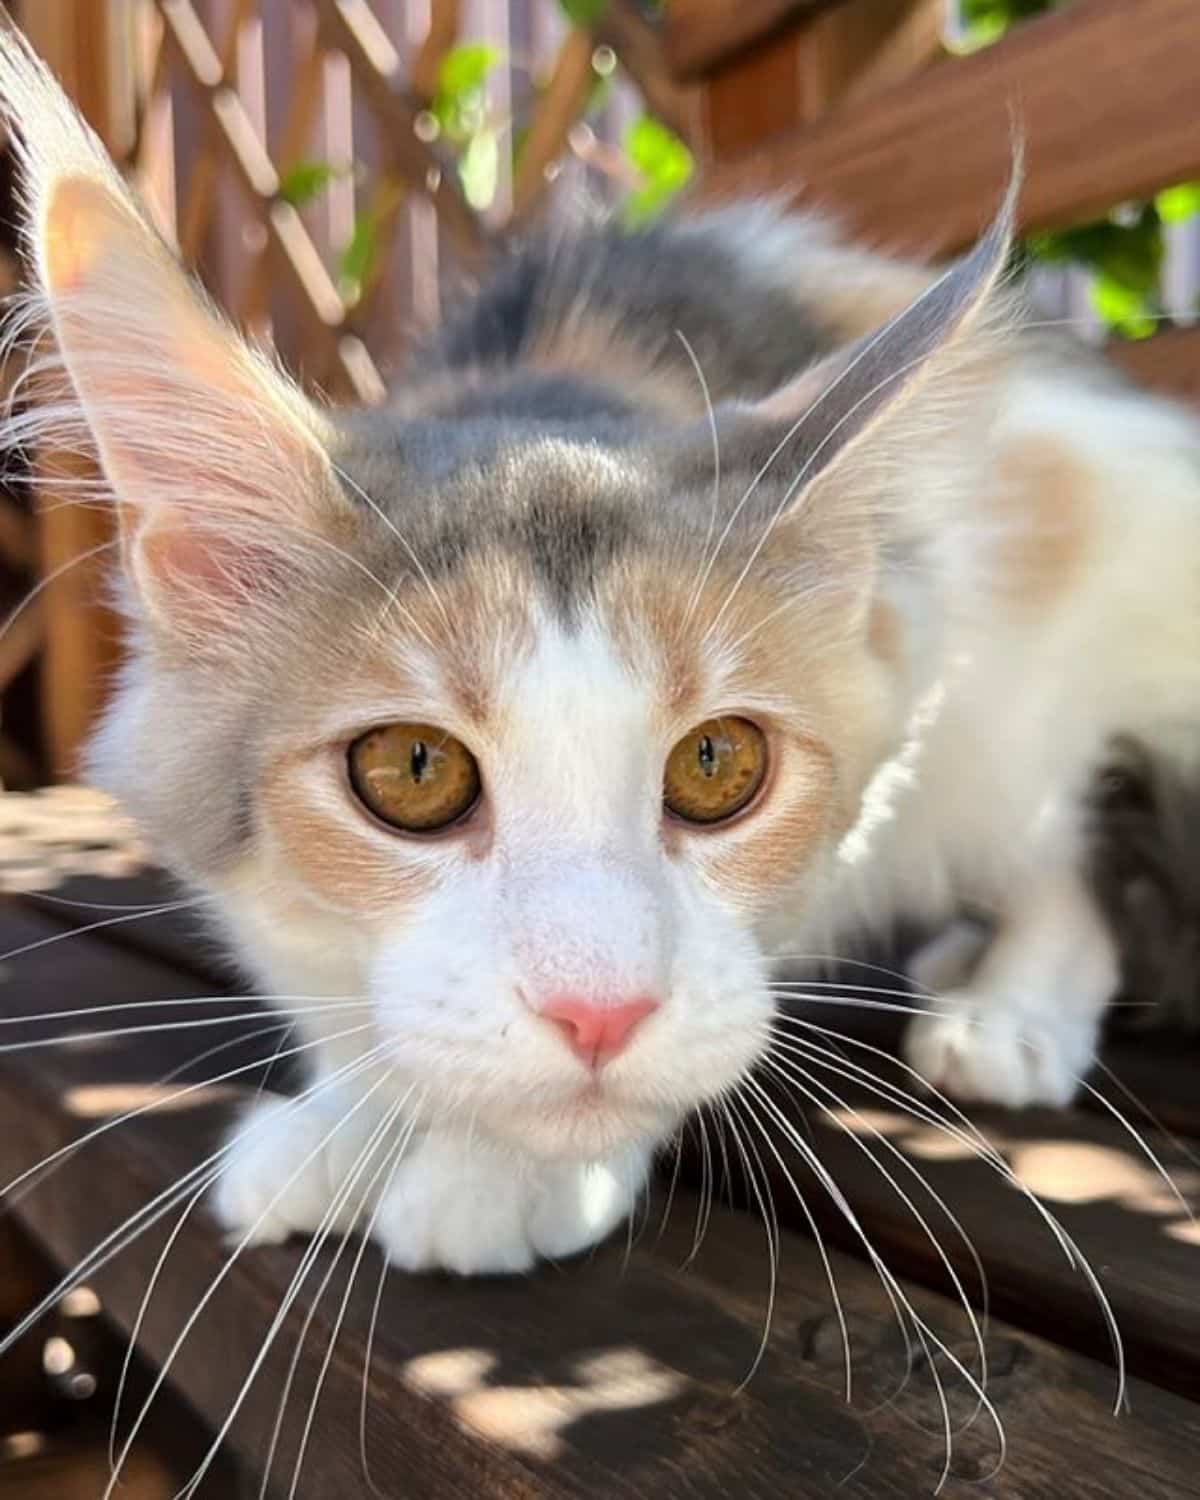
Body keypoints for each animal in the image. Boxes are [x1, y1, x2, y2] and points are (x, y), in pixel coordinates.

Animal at [4, 26, 1194, 1278]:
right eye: (411, 771)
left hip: (1026, 627)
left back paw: (1012, 1004)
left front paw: (509, 1170)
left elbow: (736, 992)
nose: (601, 1014)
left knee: (1056, 834)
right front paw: (354, 1115)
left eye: (718, 763)